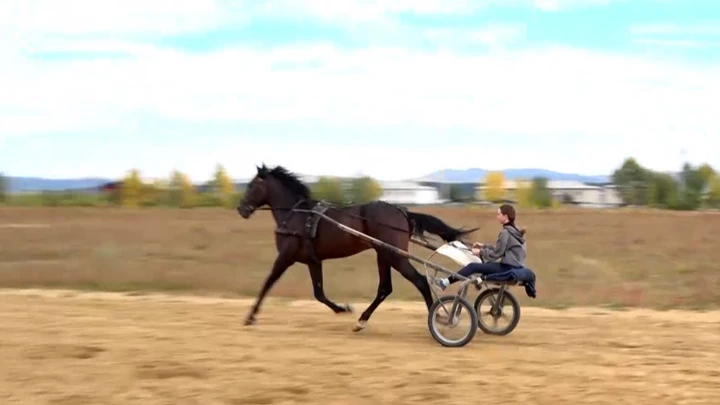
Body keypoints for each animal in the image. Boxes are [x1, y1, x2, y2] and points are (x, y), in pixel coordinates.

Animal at [233, 164, 478, 332]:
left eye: (252, 185)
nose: (241, 209)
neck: (297, 215)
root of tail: (401, 211)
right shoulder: (313, 260)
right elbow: (319, 293)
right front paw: (343, 308)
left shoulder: (285, 256)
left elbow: (268, 283)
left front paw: (250, 316)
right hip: (383, 254)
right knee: (385, 288)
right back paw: (362, 320)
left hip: (394, 255)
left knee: (419, 281)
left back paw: (438, 317)